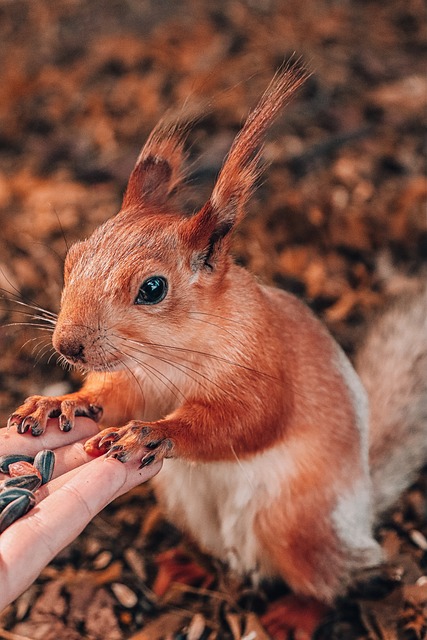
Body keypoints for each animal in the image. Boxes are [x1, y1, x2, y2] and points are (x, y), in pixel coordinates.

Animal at [8, 62, 427, 604]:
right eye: (72, 257)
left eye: (152, 288)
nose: (67, 346)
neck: (169, 354)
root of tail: (361, 507)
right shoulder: (140, 380)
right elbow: (114, 398)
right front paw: (61, 403)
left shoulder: (265, 363)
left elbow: (249, 421)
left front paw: (155, 433)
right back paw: (183, 568)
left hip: (295, 525)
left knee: (331, 577)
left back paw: (297, 608)